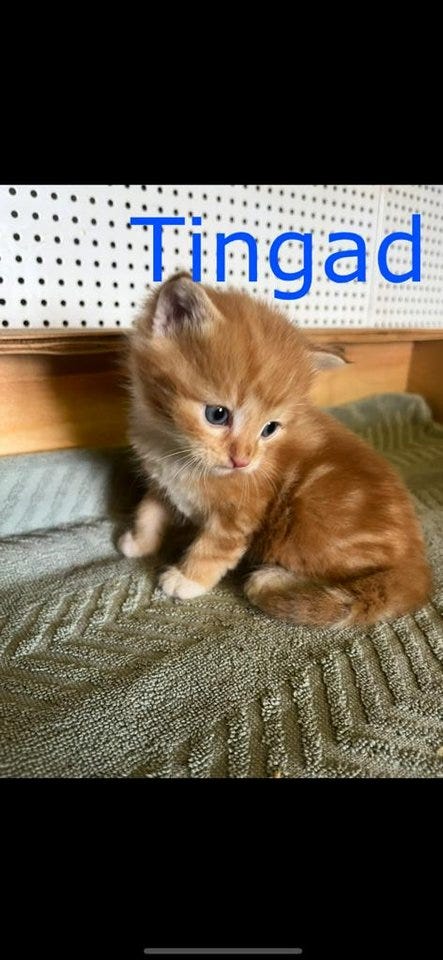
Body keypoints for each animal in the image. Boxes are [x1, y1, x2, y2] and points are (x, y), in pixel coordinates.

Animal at [119, 272, 432, 627]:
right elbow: (149, 510)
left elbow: (215, 546)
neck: (172, 447)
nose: (242, 461)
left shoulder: (242, 511)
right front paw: (138, 542)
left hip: (311, 514)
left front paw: (187, 578)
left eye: (269, 428)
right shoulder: (161, 481)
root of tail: (415, 562)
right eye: (217, 414)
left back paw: (272, 580)